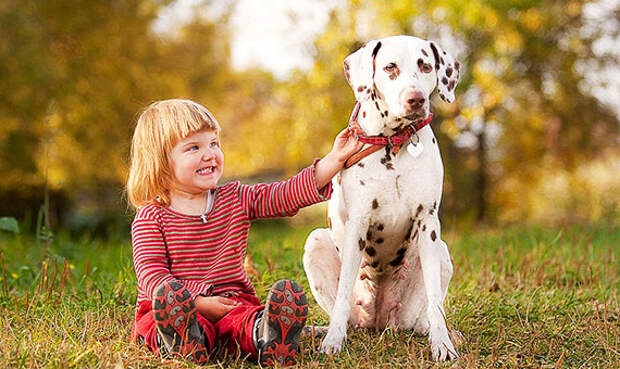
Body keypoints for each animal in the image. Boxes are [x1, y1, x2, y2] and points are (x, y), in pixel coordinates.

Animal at [302, 35, 462, 360]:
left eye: (426, 66)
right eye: (390, 67)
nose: (416, 99)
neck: (394, 143)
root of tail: (378, 320)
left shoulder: (428, 223)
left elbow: (436, 303)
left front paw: (442, 344)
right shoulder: (358, 225)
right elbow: (341, 298)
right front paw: (333, 341)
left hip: (440, 252)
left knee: (426, 315)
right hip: (315, 241)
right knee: (344, 314)